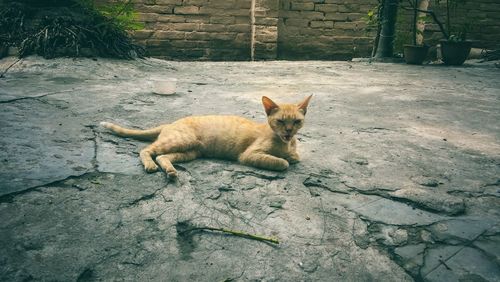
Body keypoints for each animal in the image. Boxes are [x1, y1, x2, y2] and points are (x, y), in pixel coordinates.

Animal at [100, 96, 312, 177]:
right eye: (281, 121)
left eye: (296, 122)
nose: (289, 132)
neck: (284, 143)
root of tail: (170, 123)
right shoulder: (249, 155)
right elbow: (282, 162)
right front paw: (284, 159)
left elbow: (295, 157)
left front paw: (291, 155)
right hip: (183, 141)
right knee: (146, 150)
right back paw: (150, 165)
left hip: (190, 152)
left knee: (162, 156)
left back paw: (170, 171)